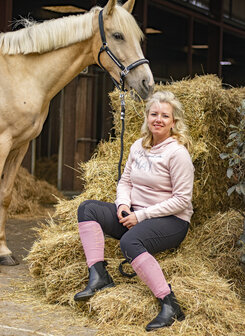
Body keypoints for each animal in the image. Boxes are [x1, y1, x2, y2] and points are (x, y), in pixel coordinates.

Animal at [0, 0, 154, 266]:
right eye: (118, 35)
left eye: (139, 37)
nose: (147, 83)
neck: (20, 76)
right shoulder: (2, 142)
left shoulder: (20, 145)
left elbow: (5, 194)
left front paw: (4, 252)